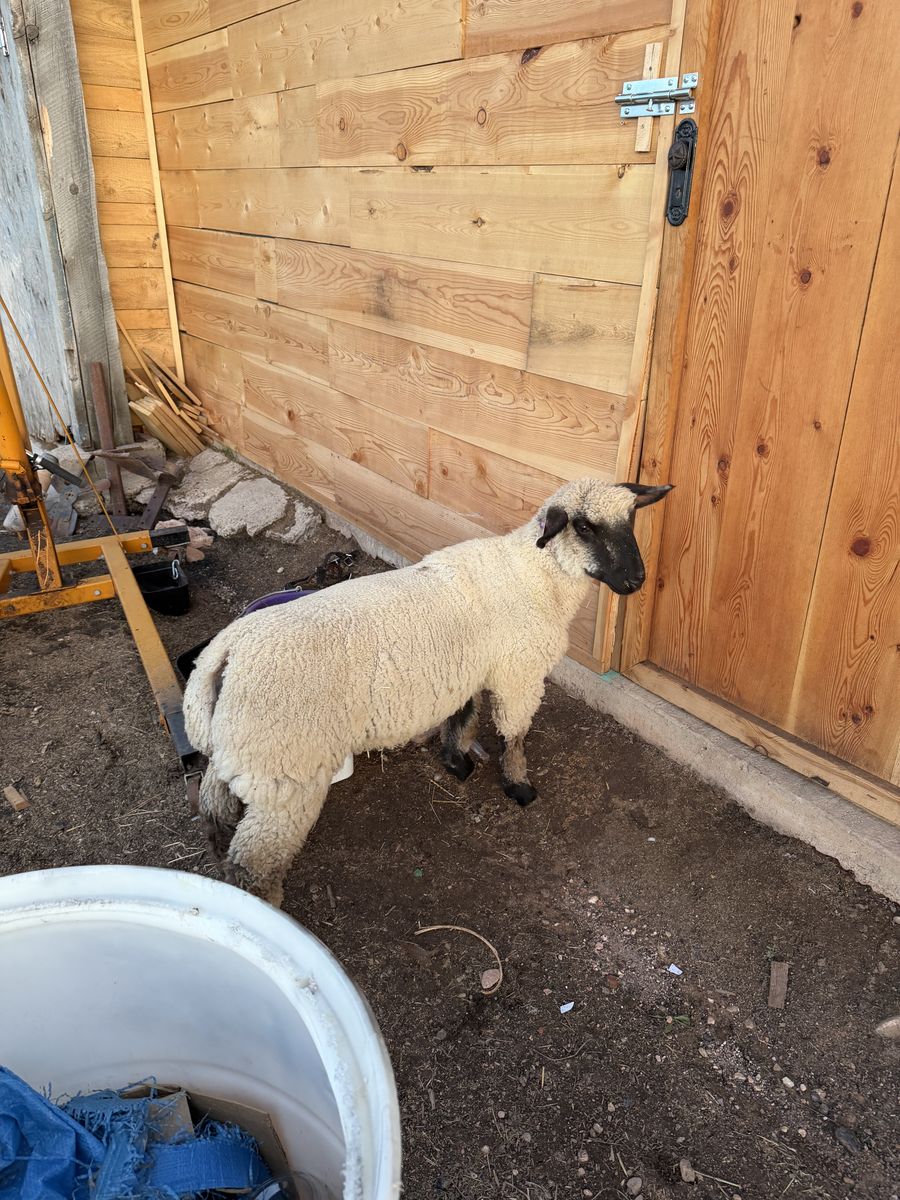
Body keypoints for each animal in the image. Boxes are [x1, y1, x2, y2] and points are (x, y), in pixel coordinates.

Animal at [183, 477, 671, 906]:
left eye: (632, 518)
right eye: (584, 526)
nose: (636, 581)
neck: (534, 576)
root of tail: (223, 654)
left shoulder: (469, 671)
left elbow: (465, 716)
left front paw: (456, 761)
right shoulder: (519, 675)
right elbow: (514, 735)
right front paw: (519, 786)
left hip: (242, 754)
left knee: (213, 812)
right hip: (284, 773)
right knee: (254, 865)